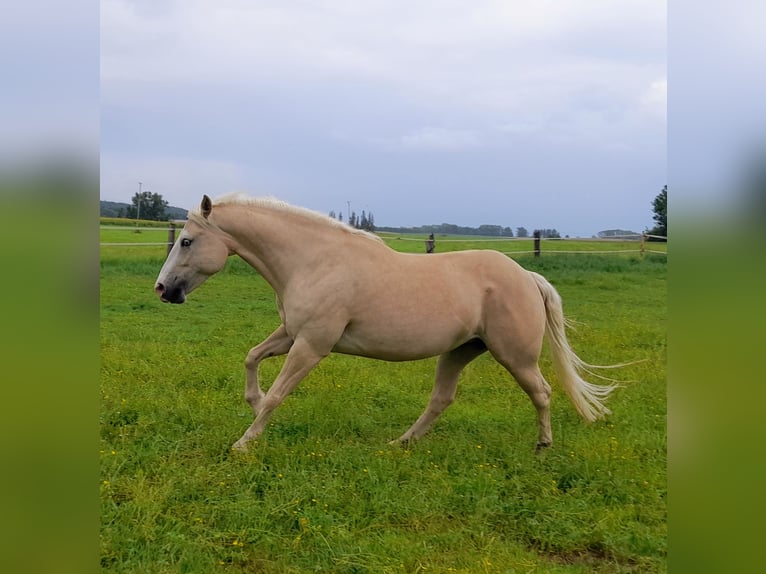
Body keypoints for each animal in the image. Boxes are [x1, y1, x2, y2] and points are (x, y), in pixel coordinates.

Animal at [153, 196, 620, 452]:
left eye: (187, 241)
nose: (162, 289)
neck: (314, 261)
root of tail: (526, 275)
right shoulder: (292, 335)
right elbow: (251, 359)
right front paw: (253, 401)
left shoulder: (312, 345)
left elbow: (278, 396)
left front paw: (244, 443)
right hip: (459, 351)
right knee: (441, 400)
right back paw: (402, 443)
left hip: (515, 356)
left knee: (541, 393)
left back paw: (542, 446)